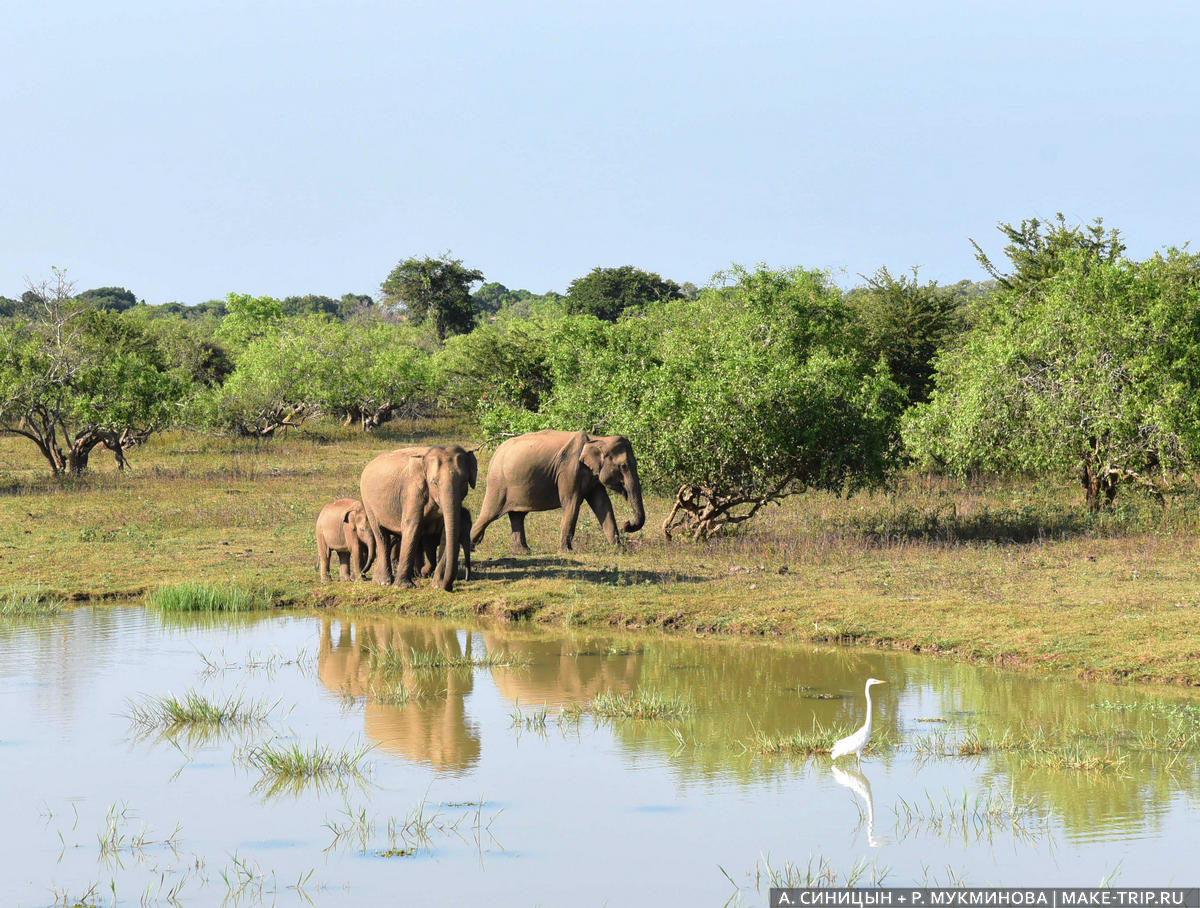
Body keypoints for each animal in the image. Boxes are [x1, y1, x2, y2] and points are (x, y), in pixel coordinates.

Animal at [360, 443, 477, 592]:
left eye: (464, 482)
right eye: (434, 483)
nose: (449, 587)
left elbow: (445, 532)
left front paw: (436, 584)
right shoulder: (413, 491)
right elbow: (412, 525)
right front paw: (404, 586)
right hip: (368, 502)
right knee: (381, 535)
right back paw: (383, 581)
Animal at [468, 429, 648, 556]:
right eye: (623, 466)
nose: (627, 524)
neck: (598, 438)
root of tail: (495, 454)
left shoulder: (592, 475)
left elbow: (603, 504)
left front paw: (620, 550)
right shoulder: (569, 469)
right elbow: (571, 502)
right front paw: (567, 552)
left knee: (517, 515)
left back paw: (524, 552)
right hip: (498, 483)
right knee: (489, 513)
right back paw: (470, 548)